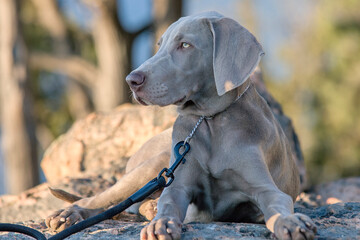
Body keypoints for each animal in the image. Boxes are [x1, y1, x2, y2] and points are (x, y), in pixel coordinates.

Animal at [45, 11, 316, 240]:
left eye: (185, 45)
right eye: (159, 45)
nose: (131, 80)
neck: (209, 120)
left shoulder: (265, 187)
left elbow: (276, 205)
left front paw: (291, 222)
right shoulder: (178, 185)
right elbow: (169, 203)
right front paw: (160, 223)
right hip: (151, 169)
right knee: (103, 199)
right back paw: (69, 214)